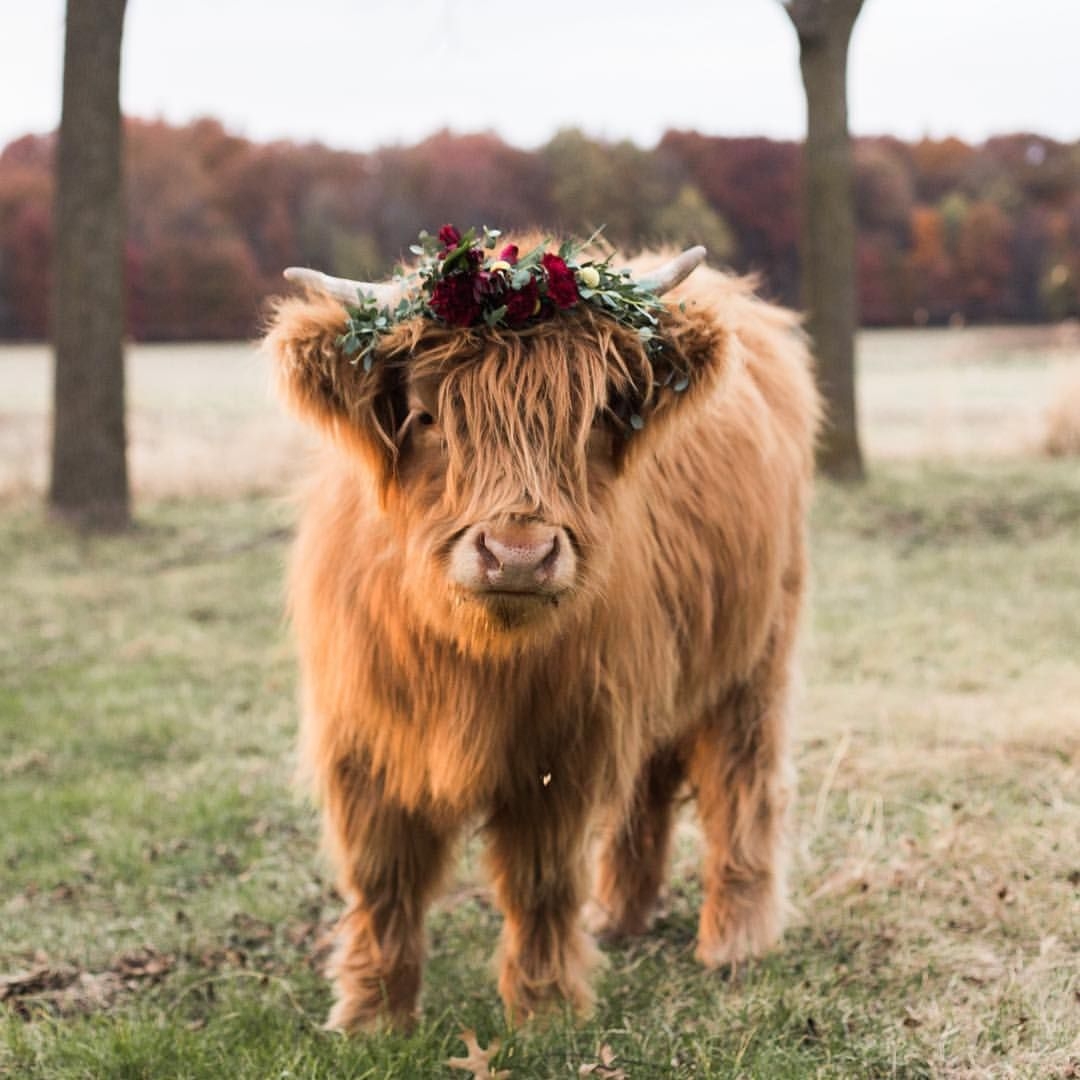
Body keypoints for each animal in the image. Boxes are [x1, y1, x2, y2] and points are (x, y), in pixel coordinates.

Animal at [267, 234, 816, 1028]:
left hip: (755, 658)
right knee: (647, 789)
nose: (519, 554)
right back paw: (619, 917)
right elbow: (383, 879)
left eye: (591, 418)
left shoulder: (562, 746)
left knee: (743, 783)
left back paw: (735, 940)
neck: (472, 654)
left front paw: (544, 1009)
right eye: (427, 416)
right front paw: (372, 1016)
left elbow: (540, 878)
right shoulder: (365, 738)